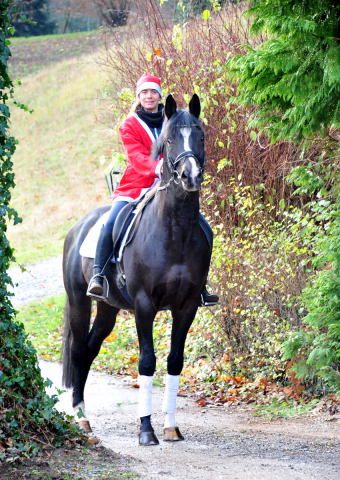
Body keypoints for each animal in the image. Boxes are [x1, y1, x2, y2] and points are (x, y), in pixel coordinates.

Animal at [61, 94, 210, 446]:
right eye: (169, 140)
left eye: (200, 136)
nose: (190, 177)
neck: (176, 227)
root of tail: (78, 227)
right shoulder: (144, 305)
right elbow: (147, 361)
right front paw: (146, 430)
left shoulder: (186, 307)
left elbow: (174, 361)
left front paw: (170, 426)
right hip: (79, 301)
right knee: (78, 350)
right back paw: (81, 417)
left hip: (108, 309)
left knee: (89, 350)